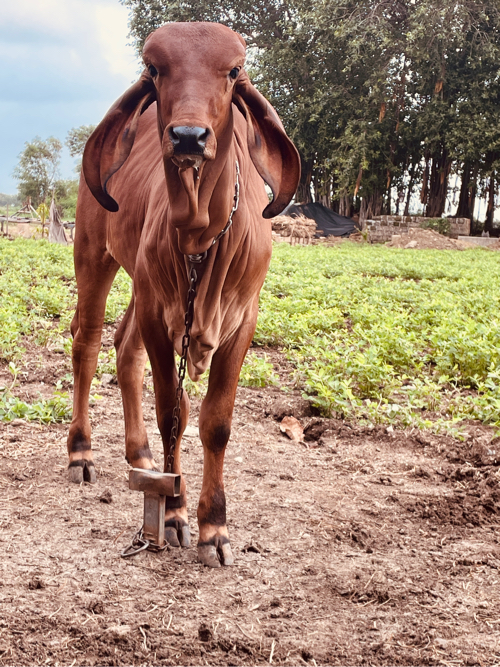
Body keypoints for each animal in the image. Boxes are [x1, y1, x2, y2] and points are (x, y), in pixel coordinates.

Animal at [68, 20, 298, 568]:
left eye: (234, 71)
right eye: (154, 68)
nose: (189, 136)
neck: (199, 236)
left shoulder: (242, 319)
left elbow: (215, 422)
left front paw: (214, 526)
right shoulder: (158, 311)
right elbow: (172, 412)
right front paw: (172, 514)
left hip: (138, 282)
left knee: (122, 348)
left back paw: (140, 454)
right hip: (94, 258)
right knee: (87, 343)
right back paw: (80, 450)